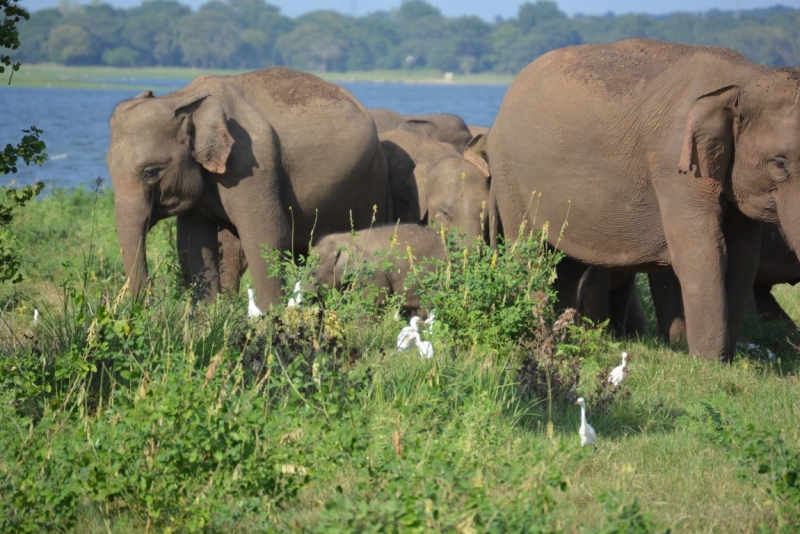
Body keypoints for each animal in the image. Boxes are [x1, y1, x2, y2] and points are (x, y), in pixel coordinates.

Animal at [108, 67, 390, 312]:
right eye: (108, 168)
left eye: (150, 172)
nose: (149, 303)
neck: (181, 98)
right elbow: (193, 243)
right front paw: (206, 319)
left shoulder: (250, 163)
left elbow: (267, 235)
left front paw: (270, 320)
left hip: (370, 179)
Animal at [478, 38, 800, 364]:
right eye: (779, 163)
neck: (747, 76)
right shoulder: (675, 164)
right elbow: (703, 254)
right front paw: (707, 363)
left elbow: (743, 261)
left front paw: (725, 361)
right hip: (510, 177)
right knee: (532, 254)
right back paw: (540, 338)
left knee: (567, 267)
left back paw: (562, 338)